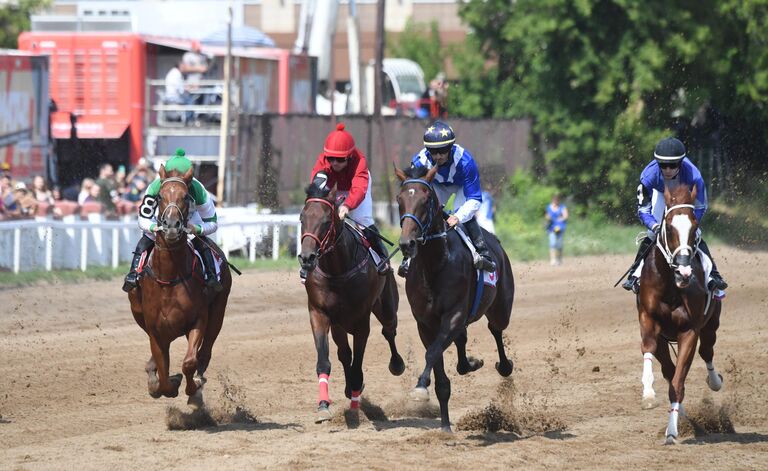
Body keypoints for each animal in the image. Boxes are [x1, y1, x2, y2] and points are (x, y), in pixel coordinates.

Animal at [127, 167, 231, 410]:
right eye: (158, 197)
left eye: (186, 197)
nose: (172, 225)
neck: (169, 278)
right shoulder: (155, 330)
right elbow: (164, 374)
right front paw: (166, 383)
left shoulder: (198, 319)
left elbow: (189, 362)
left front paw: (193, 388)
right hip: (139, 313)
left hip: (218, 312)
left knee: (204, 354)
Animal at [298, 182, 408, 424]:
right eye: (302, 218)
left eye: (326, 221)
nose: (307, 258)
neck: (337, 270)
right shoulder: (319, 313)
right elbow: (325, 360)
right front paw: (323, 406)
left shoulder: (361, 320)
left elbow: (358, 366)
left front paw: (355, 406)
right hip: (339, 324)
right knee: (344, 353)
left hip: (387, 307)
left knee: (389, 331)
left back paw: (396, 364)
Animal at [396, 165, 516, 432]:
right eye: (399, 200)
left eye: (426, 200)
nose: (407, 243)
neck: (435, 264)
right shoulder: (425, 323)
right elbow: (438, 364)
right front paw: (444, 426)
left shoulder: (453, 314)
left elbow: (432, 353)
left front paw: (420, 388)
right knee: (462, 342)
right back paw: (469, 363)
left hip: (501, 308)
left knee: (496, 329)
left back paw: (504, 366)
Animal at [632, 185, 724, 446]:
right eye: (669, 227)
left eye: (694, 226)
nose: (684, 270)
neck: (671, 285)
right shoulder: (649, 321)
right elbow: (649, 350)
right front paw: (648, 394)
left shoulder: (689, 331)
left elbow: (679, 382)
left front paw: (672, 431)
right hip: (665, 339)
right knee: (668, 369)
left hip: (711, 324)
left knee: (707, 352)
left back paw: (714, 382)